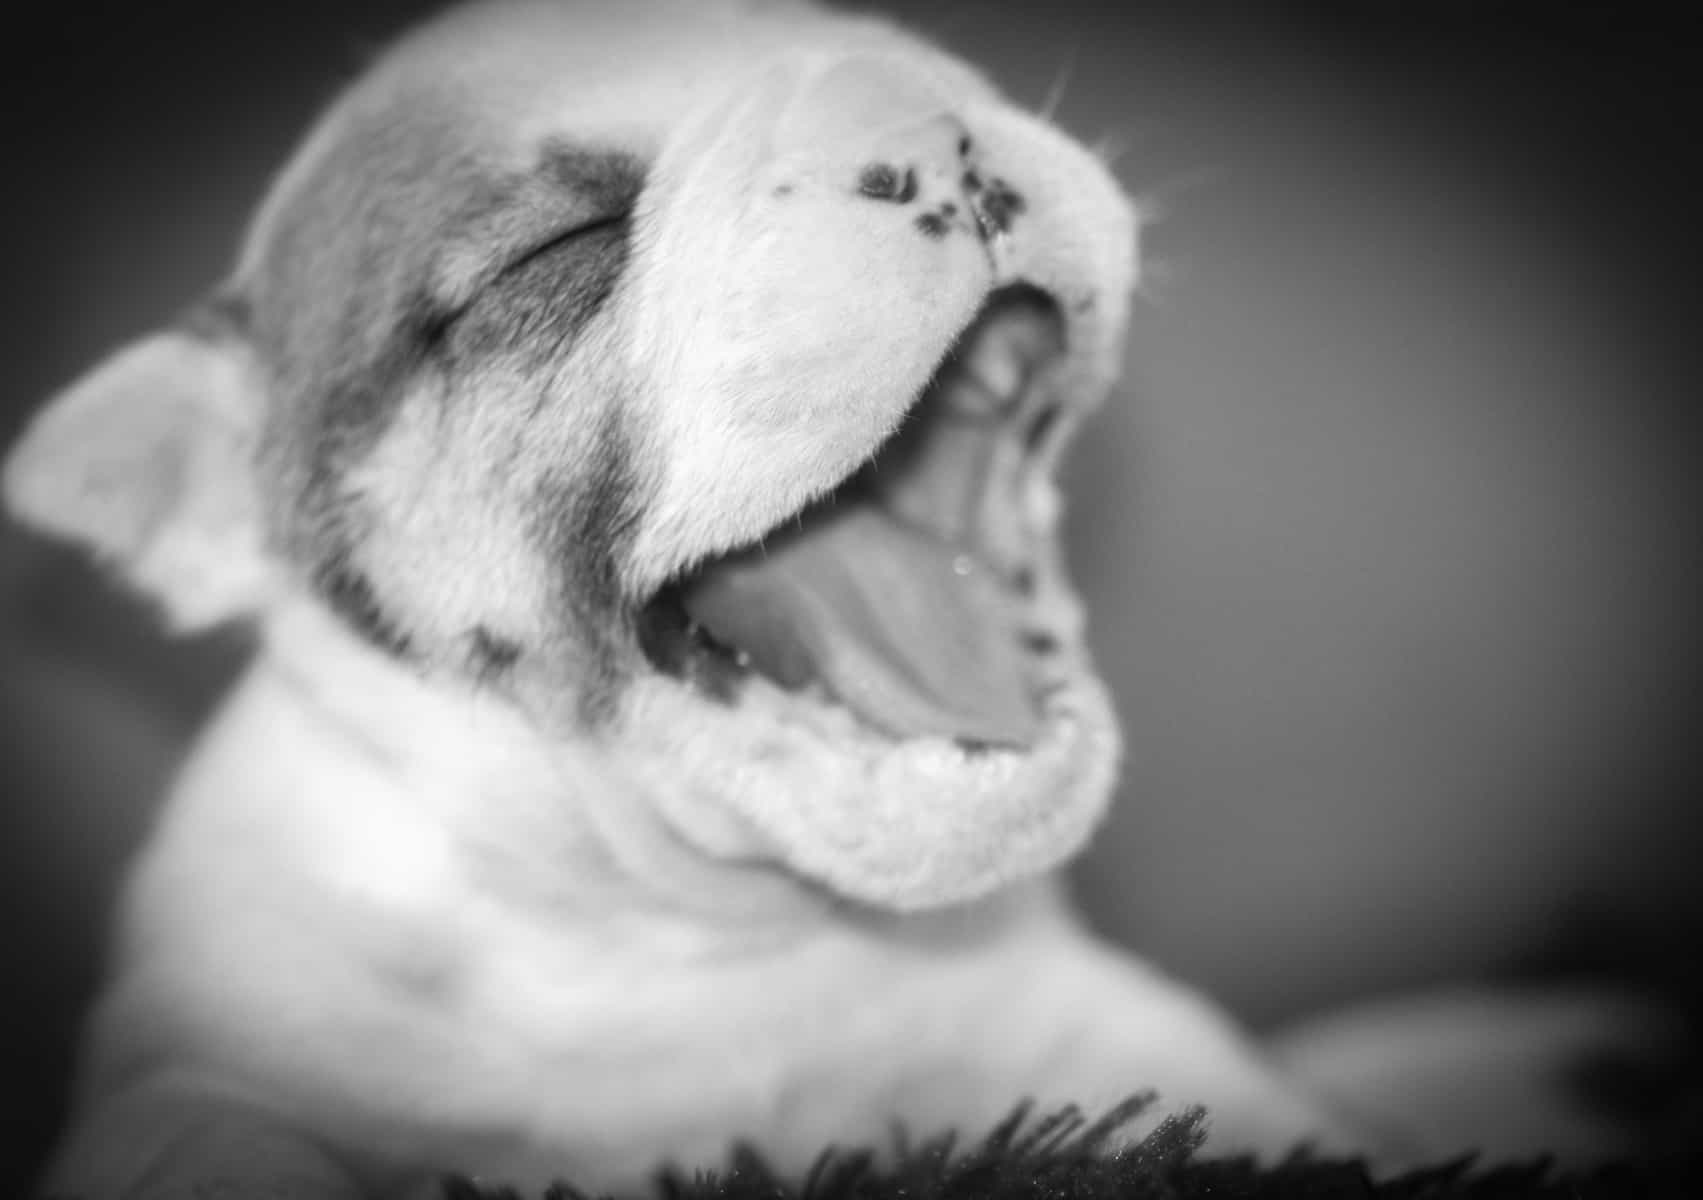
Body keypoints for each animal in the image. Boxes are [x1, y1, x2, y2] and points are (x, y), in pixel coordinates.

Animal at [0, 2, 1648, 1198]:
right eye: (561, 247)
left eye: (924, 53)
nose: (910, 109)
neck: (684, 930)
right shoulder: (201, 1070)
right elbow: (218, 1134)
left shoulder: (1077, 1027)